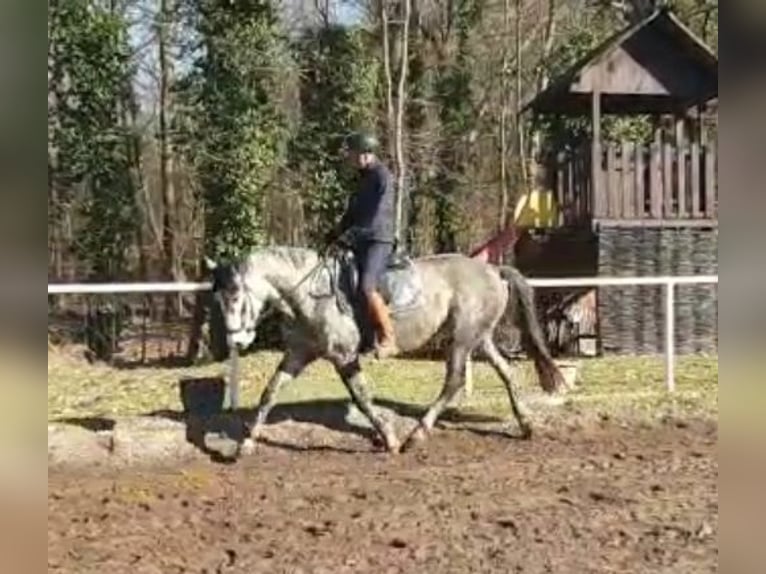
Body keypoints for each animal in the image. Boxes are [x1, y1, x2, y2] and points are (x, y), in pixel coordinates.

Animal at [207, 248, 568, 454]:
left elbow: (362, 398)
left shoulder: (344, 357)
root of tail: (493, 270)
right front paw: (247, 443)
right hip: (479, 338)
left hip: (463, 338)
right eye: (219, 299)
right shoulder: (298, 353)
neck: (310, 294)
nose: (236, 343)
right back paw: (526, 425)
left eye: (236, 296)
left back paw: (416, 436)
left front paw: (389, 438)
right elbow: (269, 393)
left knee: (453, 381)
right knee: (506, 372)